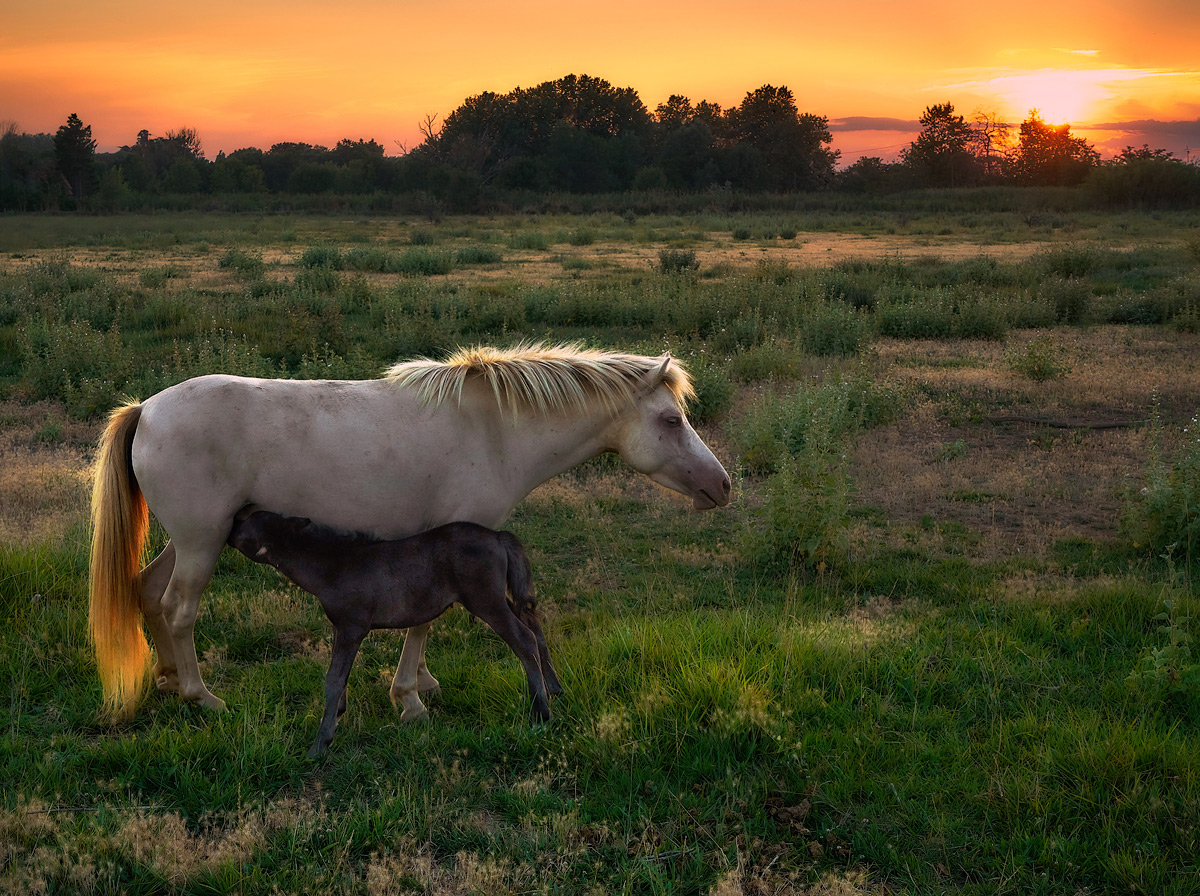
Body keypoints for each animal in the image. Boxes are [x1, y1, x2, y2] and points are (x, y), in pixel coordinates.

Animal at [88, 343, 724, 719]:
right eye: (671, 420)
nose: (721, 485)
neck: (495, 428)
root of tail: (147, 409)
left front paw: (421, 684)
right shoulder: (455, 546)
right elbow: (426, 621)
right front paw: (409, 697)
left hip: (190, 539)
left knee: (149, 592)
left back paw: (169, 679)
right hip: (201, 541)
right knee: (179, 608)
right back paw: (202, 696)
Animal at [226, 510, 559, 758]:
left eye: (250, 520)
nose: (229, 526)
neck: (334, 565)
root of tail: (497, 536)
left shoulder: (352, 627)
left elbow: (333, 679)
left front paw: (320, 743)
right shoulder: (340, 628)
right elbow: (341, 677)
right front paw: (337, 718)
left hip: (485, 600)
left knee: (524, 639)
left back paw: (540, 712)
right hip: (498, 598)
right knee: (533, 624)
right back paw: (554, 690)